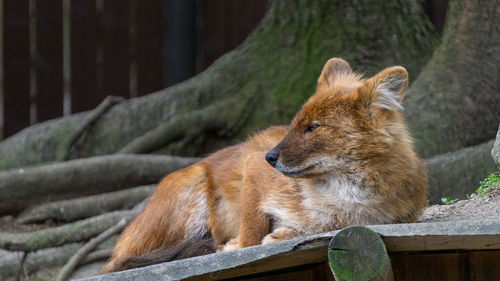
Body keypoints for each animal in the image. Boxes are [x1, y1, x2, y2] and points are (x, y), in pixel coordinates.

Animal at [100, 58, 426, 272]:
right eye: (294, 125)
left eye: (313, 127)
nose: (271, 156)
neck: (344, 190)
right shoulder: (253, 168)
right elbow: (251, 230)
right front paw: (239, 245)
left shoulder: (389, 217)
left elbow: (330, 225)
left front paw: (289, 232)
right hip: (192, 191)